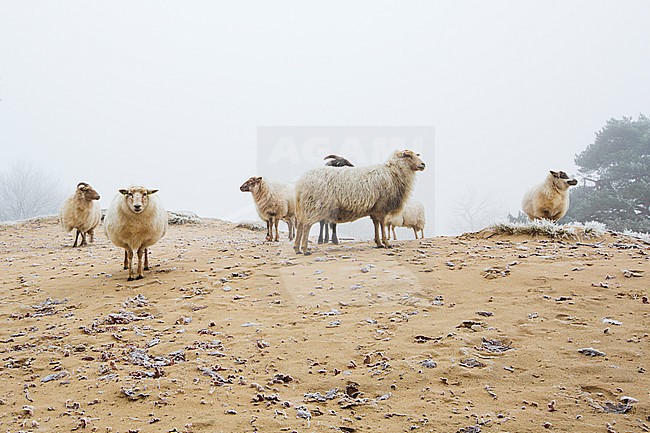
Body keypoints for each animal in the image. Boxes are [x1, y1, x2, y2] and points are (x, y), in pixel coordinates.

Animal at [294, 149, 426, 254]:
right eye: (408, 156)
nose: (423, 164)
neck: (393, 173)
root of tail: (301, 183)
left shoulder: (375, 208)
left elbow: (376, 224)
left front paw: (378, 243)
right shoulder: (382, 207)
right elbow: (382, 225)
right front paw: (386, 243)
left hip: (305, 207)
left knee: (300, 225)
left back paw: (297, 248)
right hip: (314, 206)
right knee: (306, 226)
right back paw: (304, 249)